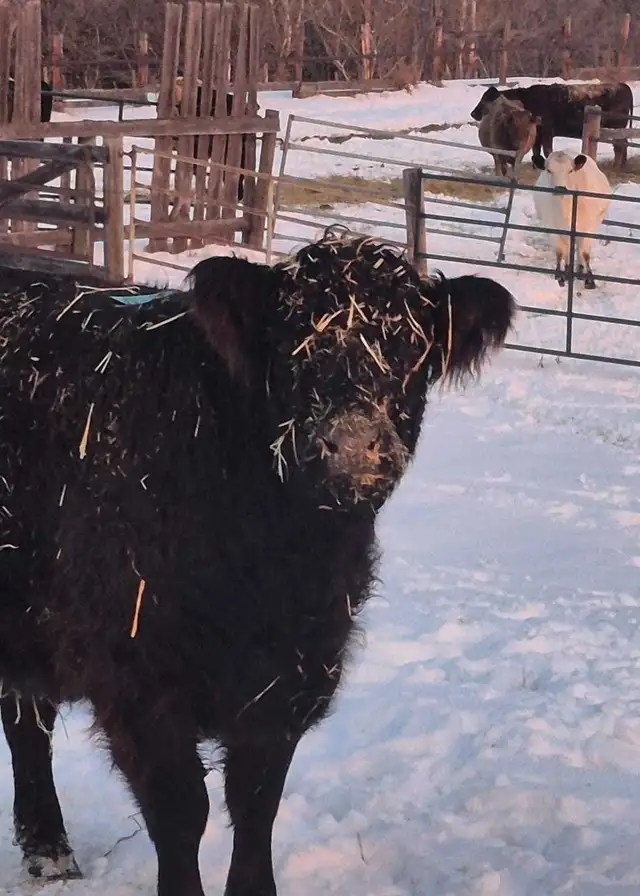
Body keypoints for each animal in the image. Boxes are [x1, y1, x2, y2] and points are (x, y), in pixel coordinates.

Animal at [0, 230, 516, 894]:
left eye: (411, 350)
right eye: (292, 347)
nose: (353, 445)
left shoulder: (293, 673)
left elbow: (255, 803)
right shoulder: (138, 679)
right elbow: (181, 811)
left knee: (25, 717)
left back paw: (49, 854)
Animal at [470, 82, 633, 169]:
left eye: (485, 100)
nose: (473, 113)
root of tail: (622, 85)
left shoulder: (547, 131)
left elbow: (547, 150)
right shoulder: (538, 134)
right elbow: (536, 151)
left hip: (616, 128)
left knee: (619, 147)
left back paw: (617, 166)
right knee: (623, 144)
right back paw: (622, 166)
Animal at [533, 150, 611, 289]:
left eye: (570, 170)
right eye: (548, 170)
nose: (560, 188)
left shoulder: (589, 227)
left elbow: (585, 253)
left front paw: (590, 280)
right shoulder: (551, 225)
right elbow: (560, 252)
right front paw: (560, 277)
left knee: (580, 250)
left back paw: (579, 270)